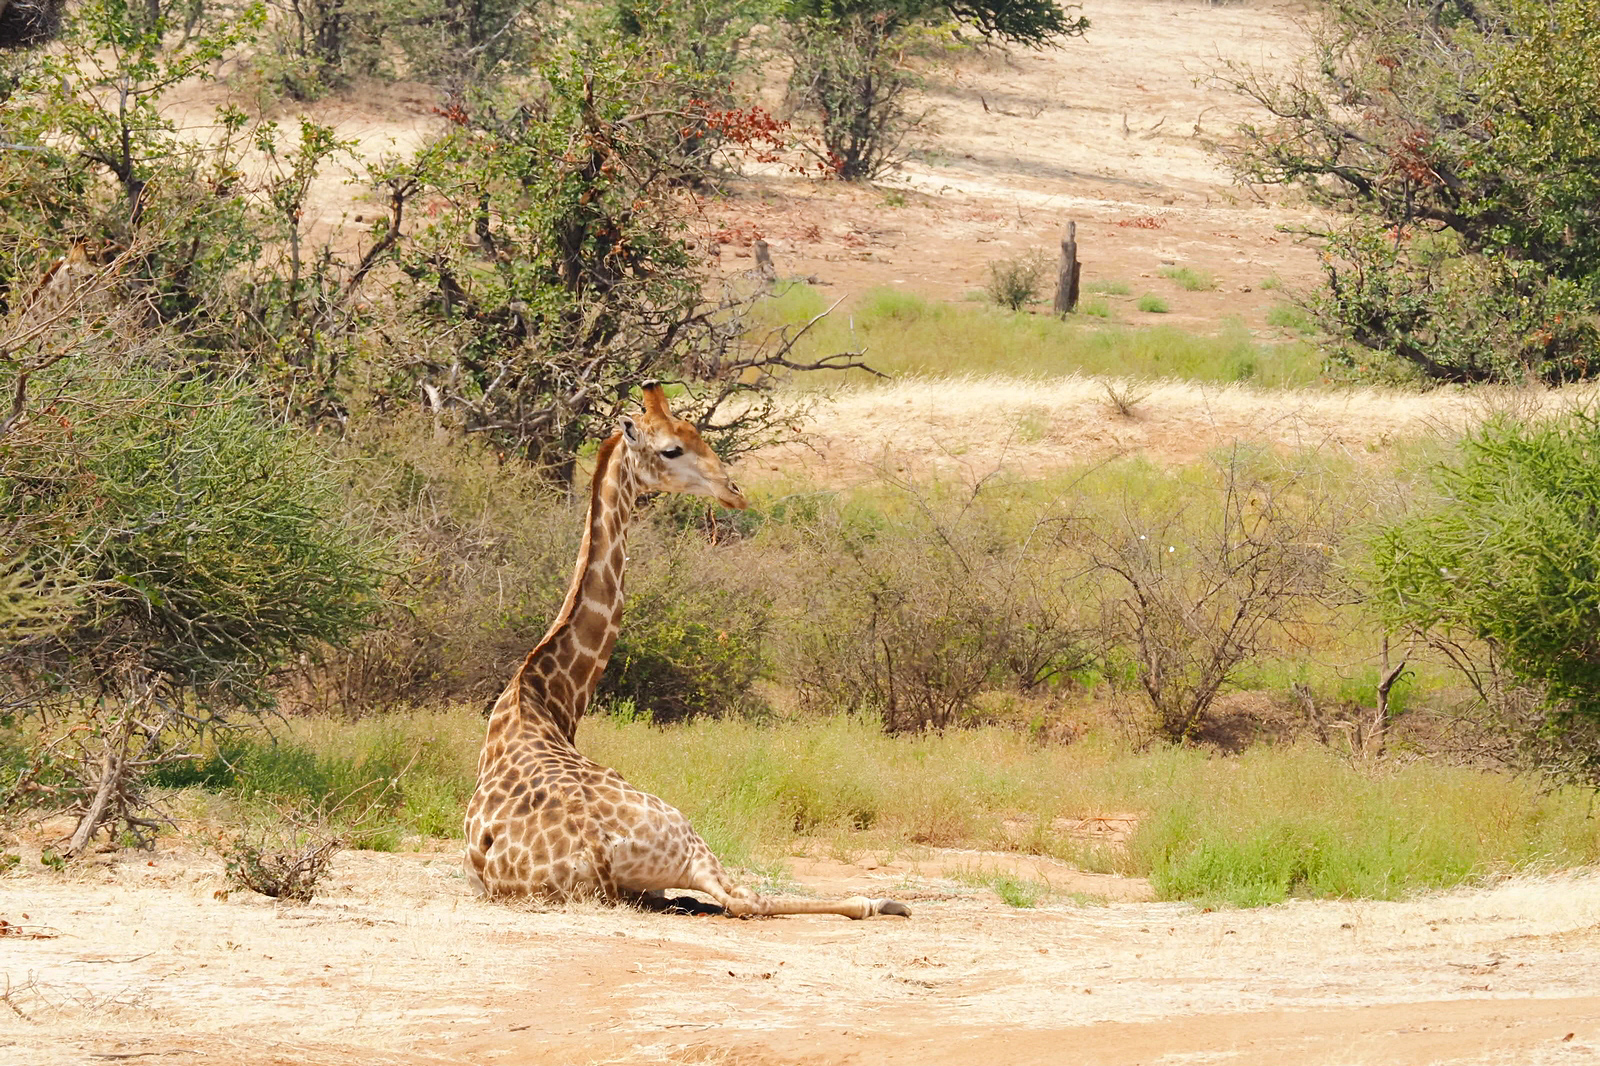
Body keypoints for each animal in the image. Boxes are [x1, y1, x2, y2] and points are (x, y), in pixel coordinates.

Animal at [463, 384, 910, 920]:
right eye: (671, 449)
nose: (734, 491)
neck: (542, 698)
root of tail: (595, 848)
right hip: (686, 836)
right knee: (745, 899)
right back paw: (883, 900)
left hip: (667, 857)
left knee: (734, 899)